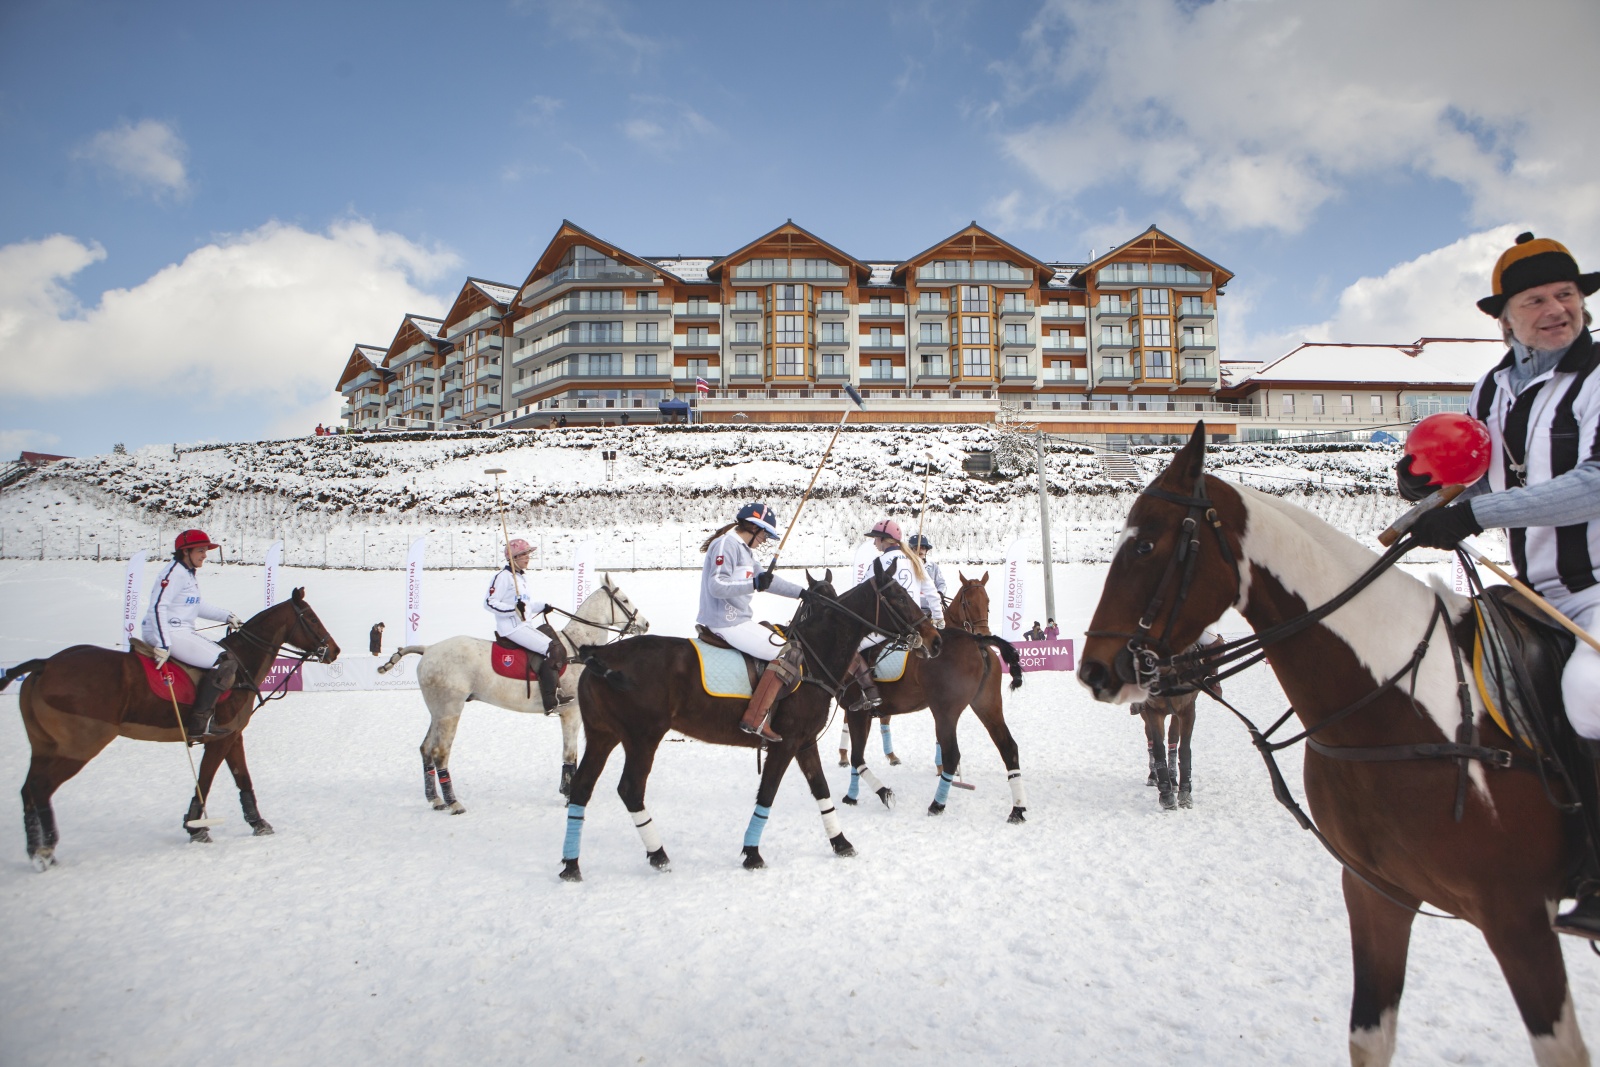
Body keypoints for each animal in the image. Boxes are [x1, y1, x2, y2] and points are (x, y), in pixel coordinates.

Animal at [2, 588, 340, 870]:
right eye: (311, 617)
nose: (334, 651)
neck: (243, 666)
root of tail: (44, 664)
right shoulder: (218, 738)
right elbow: (205, 781)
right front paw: (196, 828)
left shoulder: (232, 735)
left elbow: (243, 779)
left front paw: (258, 824)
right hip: (79, 746)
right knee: (40, 788)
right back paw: (46, 852)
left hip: (45, 746)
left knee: (27, 789)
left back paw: (35, 851)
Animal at [376, 575, 649, 809]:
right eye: (624, 600)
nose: (645, 624)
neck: (577, 647)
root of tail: (428, 649)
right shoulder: (571, 711)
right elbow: (570, 754)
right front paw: (569, 794)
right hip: (450, 710)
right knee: (439, 752)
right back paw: (453, 803)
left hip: (437, 711)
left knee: (425, 749)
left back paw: (435, 800)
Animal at [560, 563, 940, 883]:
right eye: (898, 596)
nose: (934, 639)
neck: (814, 657)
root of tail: (597, 654)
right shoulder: (785, 742)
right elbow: (768, 793)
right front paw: (752, 853)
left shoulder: (805, 741)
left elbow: (821, 789)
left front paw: (841, 842)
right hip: (643, 737)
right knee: (630, 790)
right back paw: (658, 854)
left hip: (603, 735)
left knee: (581, 787)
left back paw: (571, 864)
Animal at [838, 575, 1024, 819]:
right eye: (968, 603)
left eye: (987, 602)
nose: (983, 631)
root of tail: (977, 641)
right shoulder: (861, 713)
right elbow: (857, 754)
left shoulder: (858, 712)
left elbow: (857, 756)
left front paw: (852, 796)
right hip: (987, 705)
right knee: (1008, 747)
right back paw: (1017, 809)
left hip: (946, 711)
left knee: (953, 754)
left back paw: (937, 803)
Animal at [1075, 425, 1587, 1067]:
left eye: (1145, 547)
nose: (1094, 670)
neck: (1393, 705)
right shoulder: (1377, 893)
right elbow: (1370, 1035)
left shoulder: (1519, 917)